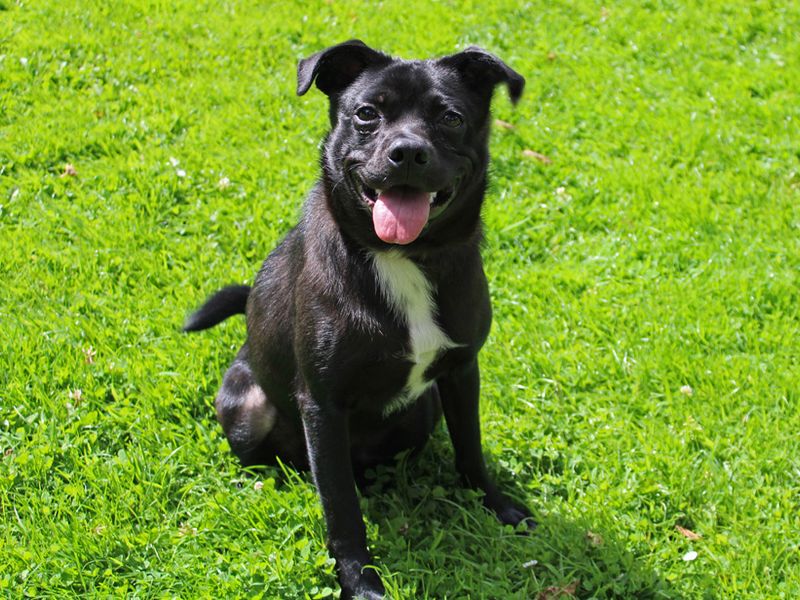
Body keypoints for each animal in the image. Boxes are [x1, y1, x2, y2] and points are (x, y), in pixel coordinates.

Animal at [187, 39, 536, 596]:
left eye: (452, 117)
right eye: (367, 113)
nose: (408, 152)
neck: (401, 258)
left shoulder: (462, 371)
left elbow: (471, 449)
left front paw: (496, 506)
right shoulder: (323, 406)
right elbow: (341, 507)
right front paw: (361, 581)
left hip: (426, 407)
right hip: (251, 409)